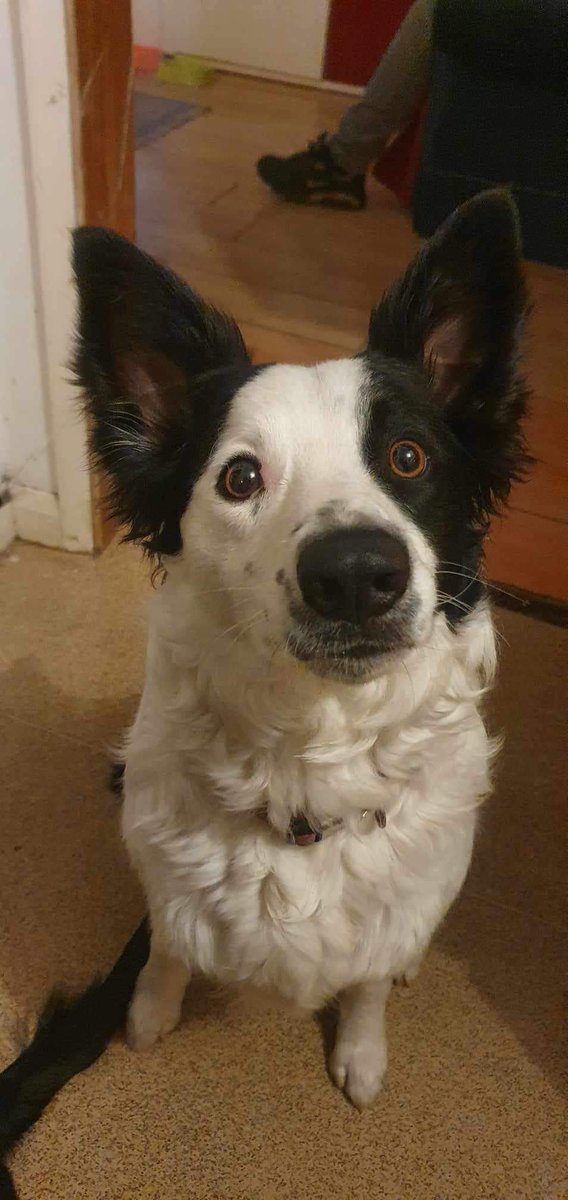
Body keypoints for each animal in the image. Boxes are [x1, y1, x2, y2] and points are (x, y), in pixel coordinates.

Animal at [1, 194, 525, 1180]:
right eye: (240, 478)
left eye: (407, 458)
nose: (355, 574)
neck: (315, 754)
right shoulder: (165, 868)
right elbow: (168, 943)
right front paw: (148, 1015)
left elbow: (366, 979)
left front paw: (362, 1049)